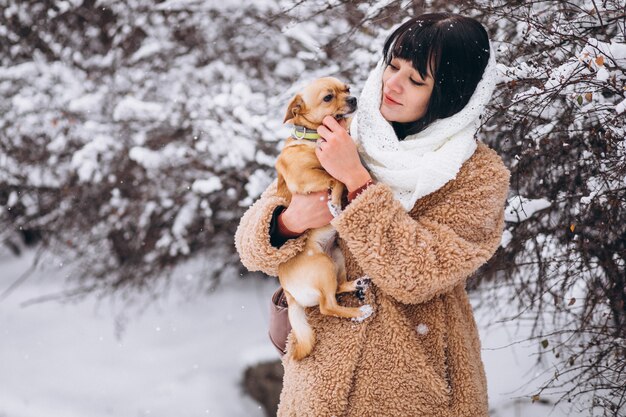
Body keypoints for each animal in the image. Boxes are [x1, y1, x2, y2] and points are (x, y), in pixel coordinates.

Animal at [274, 77, 370, 358]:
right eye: (328, 97)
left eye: (347, 89)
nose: (354, 99)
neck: (314, 137)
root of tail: (290, 294)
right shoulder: (305, 176)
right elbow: (334, 177)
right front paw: (335, 202)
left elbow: (340, 174)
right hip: (323, 266)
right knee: (328, 306)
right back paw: (360, 311)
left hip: (335, 256)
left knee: (336, 289)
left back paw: (357, 284)